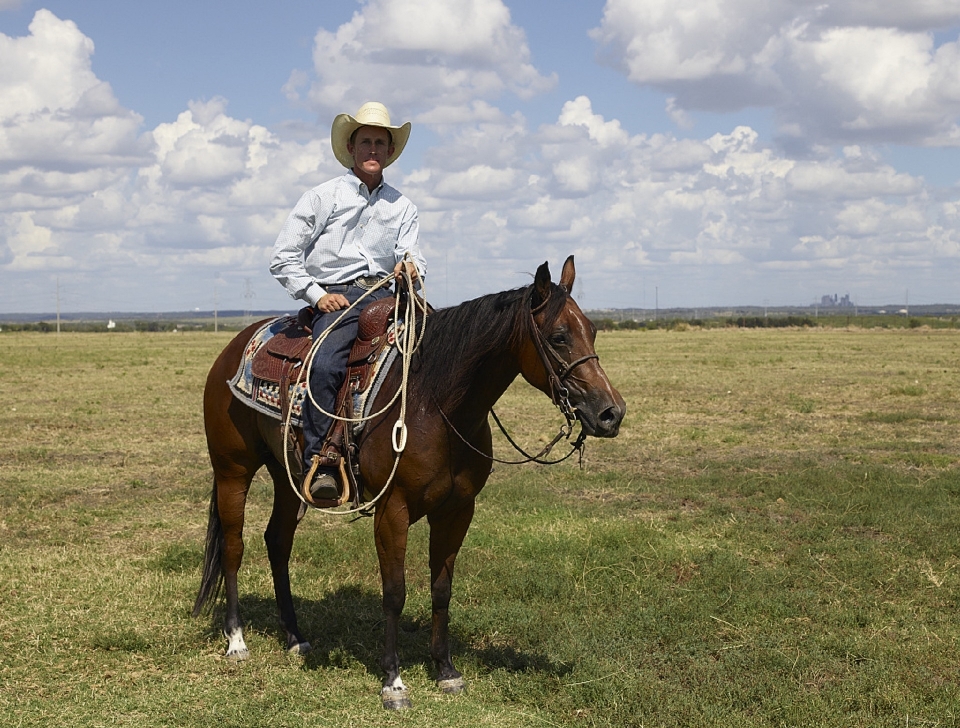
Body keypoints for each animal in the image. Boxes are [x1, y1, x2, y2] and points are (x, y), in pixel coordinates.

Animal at [191, 255, 628, 704]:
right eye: (558, 336)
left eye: (592, 330)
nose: (611, 413)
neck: (434, 402)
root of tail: (236, 345)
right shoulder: (392, 509)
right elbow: (394, 592)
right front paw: (393, 680)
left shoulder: (457, 510)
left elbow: (442, 588)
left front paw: (445, 669)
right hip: (232, 470)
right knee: (233, 546)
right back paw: (236, 640)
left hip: (287, 476)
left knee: (277, 541)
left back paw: (295, 637)